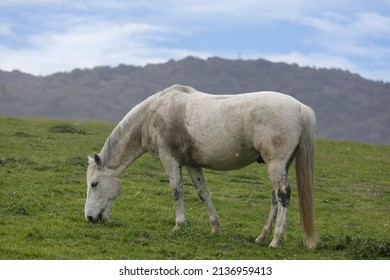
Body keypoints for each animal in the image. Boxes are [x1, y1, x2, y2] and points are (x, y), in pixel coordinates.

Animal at [84, 84, 316, 248]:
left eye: (94, 184)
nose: (90, 218)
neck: (153, 114)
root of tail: (299, 107)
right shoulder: (191, 164)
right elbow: (203, 193)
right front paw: (215, 228)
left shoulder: (170, 159)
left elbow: (176, 190)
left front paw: (179, 225)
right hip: (282, 165)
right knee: (275, 198)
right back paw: (262, 237)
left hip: (276, 164)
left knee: (283, 194)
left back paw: (276, 240)